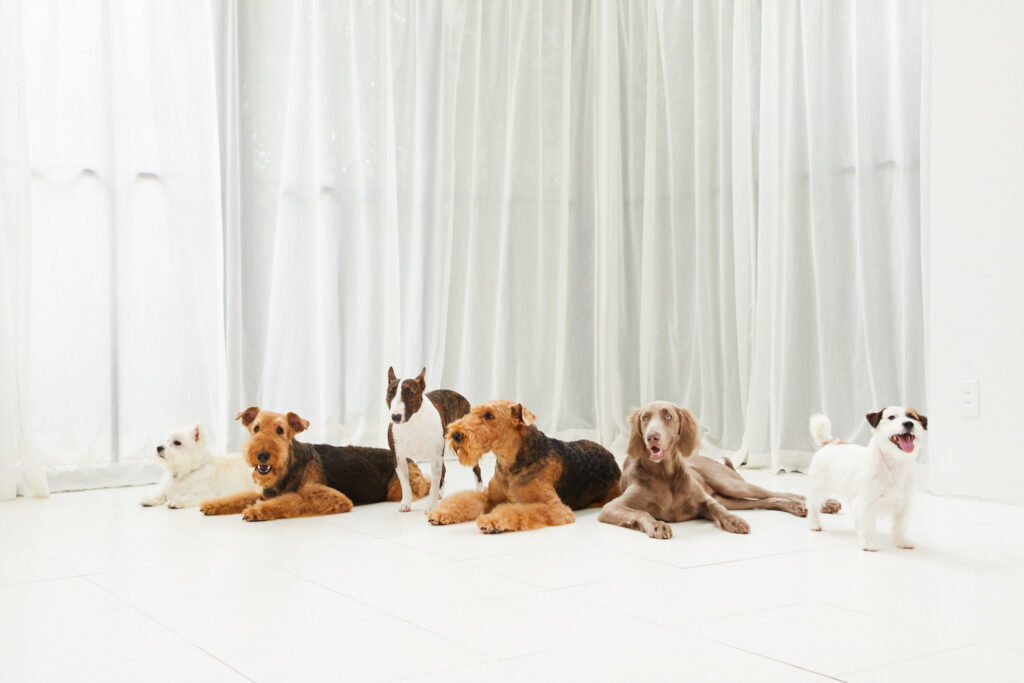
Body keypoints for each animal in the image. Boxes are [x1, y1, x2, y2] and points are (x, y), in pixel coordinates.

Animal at [200, 407, 430, 521]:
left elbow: (290, 502)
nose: (262, 455)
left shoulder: (331, 497)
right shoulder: (264, 493)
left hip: (397, 488)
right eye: (256, 428)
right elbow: (240, 497)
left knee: (425, 483)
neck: (289, 467)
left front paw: (255, 512)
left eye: (280, 430)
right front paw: (210, 505)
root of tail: (407, 458)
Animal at [386, 367, 482, 512]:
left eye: (410, 393)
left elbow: (434, 482)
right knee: (445, 469)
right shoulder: (398, 458)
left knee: (476, 468)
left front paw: (431, 507)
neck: (412, 425)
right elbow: (405, 484)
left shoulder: (435, 457)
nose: (395, 417)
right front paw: (405, 504)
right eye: (390, 392)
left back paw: (479, 490)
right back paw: (439, 493)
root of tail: (460, 396)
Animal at [425, 399, 621, 533]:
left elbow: (517, 511)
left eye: (489, 415)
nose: (456, 435)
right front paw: (440, 513)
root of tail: (612, 457)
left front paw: (490, 521)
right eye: (473, 412)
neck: (510, 463)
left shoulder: (554, 507)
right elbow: (465, 500)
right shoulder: (489, 496)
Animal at [599, 401, 838, 539]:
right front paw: (657, 525)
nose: (652, 437)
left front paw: (734, 521)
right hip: (730, 496)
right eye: (645, 418)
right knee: (769, 501)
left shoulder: (706, 500)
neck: (665, 475)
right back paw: (800, 508)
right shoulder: (610, 508)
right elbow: (641, 512)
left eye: (667, 416)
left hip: (731, 485)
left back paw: (824, 504)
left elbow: (717, 509)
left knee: (776, 493)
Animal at [807, 407, 926, 551]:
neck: (894, 463)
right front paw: (869, 543)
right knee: (813, 505)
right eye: (891, 417)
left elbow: (900, 525)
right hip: (818, 486)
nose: (909, 423)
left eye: (912, 417)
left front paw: (901, 541)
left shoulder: (904, 504)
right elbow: (868, 523)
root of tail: (830, 442)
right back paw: (814, 523)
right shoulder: (866, 502)